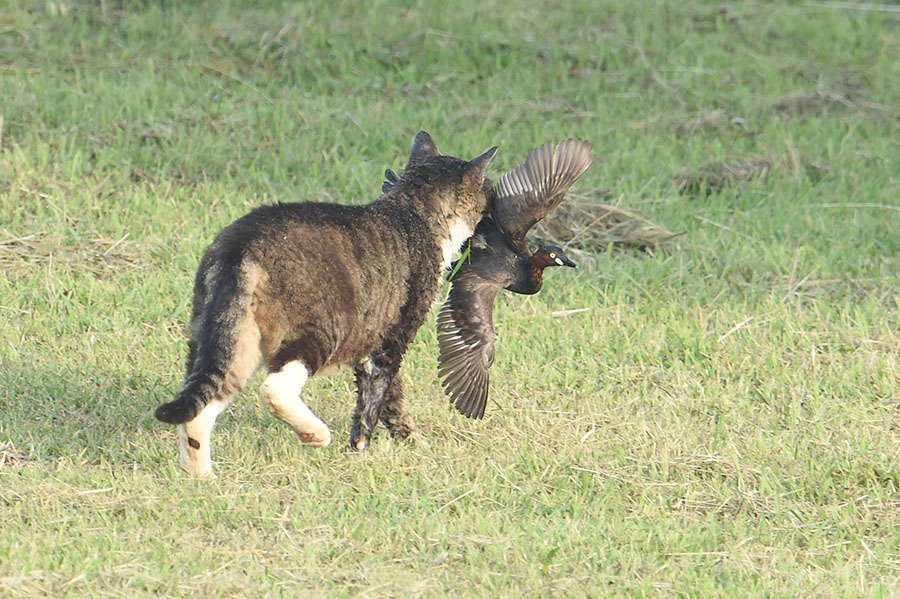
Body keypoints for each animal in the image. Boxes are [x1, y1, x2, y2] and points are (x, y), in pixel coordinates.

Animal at [151, 132, 496, 478]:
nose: (491, 217)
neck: (411, 212)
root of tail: (241, 246)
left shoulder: (373, 338)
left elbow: (391, 398)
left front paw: (407, 439)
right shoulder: (392, 339)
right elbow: (374, 401)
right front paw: (362, 448)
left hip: (226, 338)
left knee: (201, 404)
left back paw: (201, 478)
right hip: (317, 331)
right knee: (273, 389)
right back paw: (315, 434)